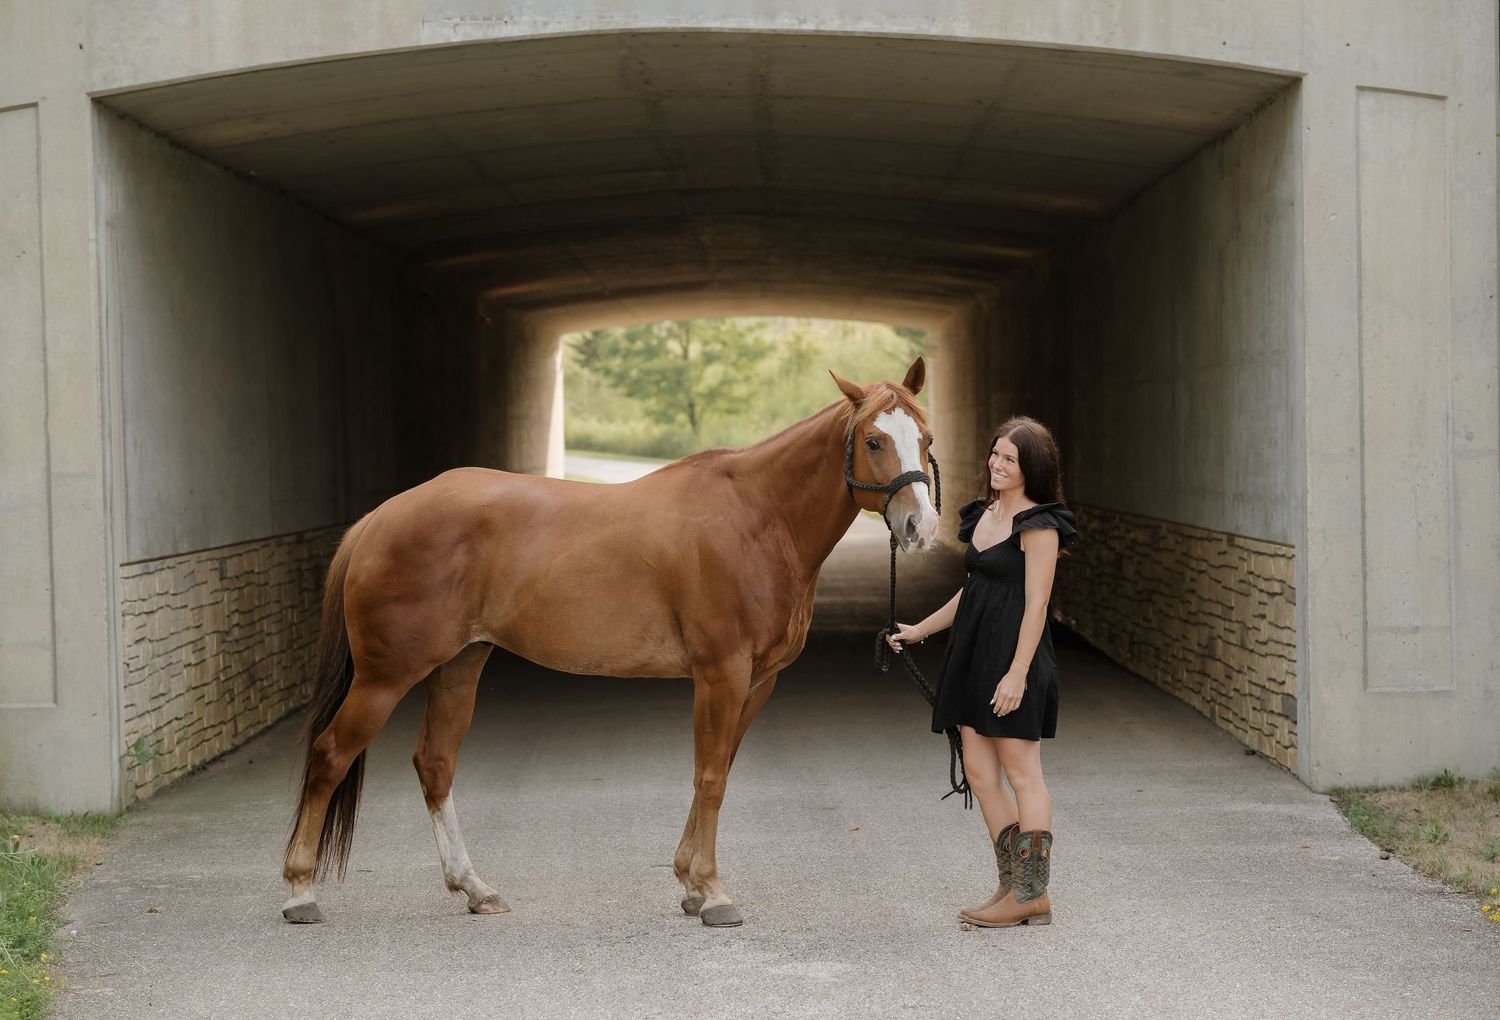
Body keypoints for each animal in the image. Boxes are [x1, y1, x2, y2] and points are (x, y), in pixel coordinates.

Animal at [281, 358, 939, 927]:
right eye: (874, 441)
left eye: (927, 440)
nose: (922, 527)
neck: (756, 518)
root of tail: (379, 518)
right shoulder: (721, 672)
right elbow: (710, 776)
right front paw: (713, 893)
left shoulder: (758, 680)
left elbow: (717, 768)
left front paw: (690, 884)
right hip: (385, 677)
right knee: (331, 754)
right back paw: (300, 891)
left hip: (459, 667)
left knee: (435, 763)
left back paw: (475, 888)